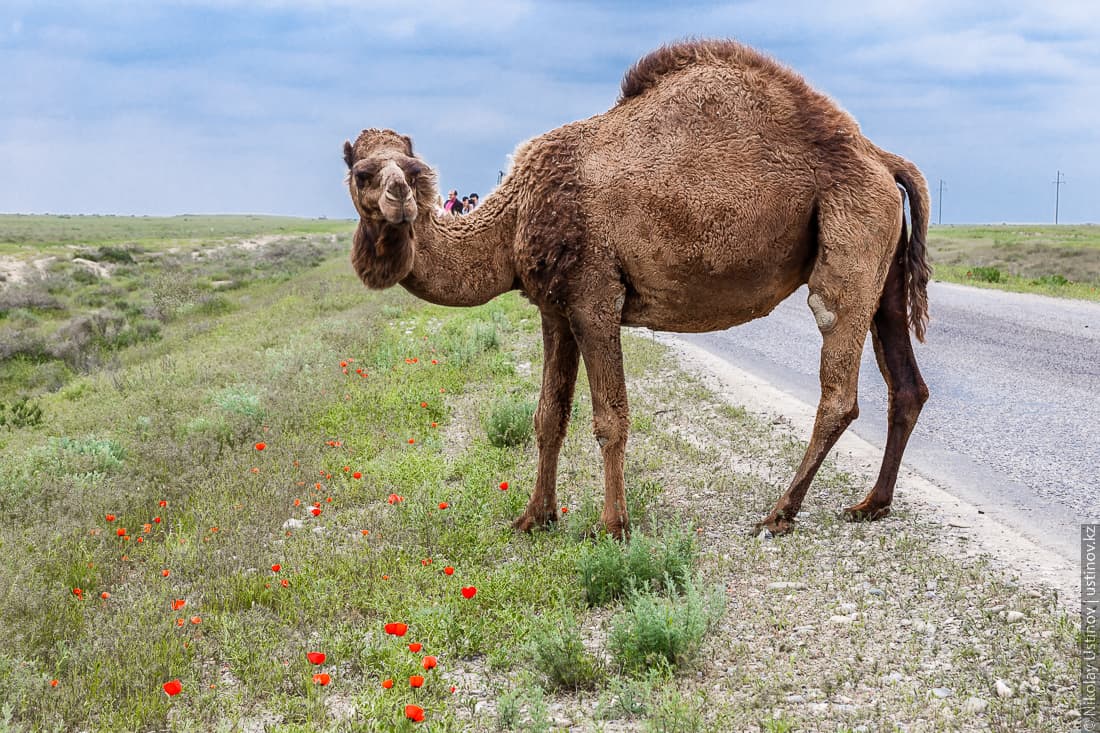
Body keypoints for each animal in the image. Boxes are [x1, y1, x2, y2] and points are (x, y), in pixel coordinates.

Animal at [342, 39, 930, 539]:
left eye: (411, 169)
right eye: (363, 171)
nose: (400, 197)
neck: (512, 218)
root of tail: (880, 157)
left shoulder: (594, 297)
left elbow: (610, 419)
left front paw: (613, 527)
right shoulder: (554, 308)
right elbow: (548, 416)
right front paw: (534, 518)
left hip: (852, 229)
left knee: (838, 380)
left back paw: (779, 514)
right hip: (882, 262)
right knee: (906, 383)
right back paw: (872, 504)